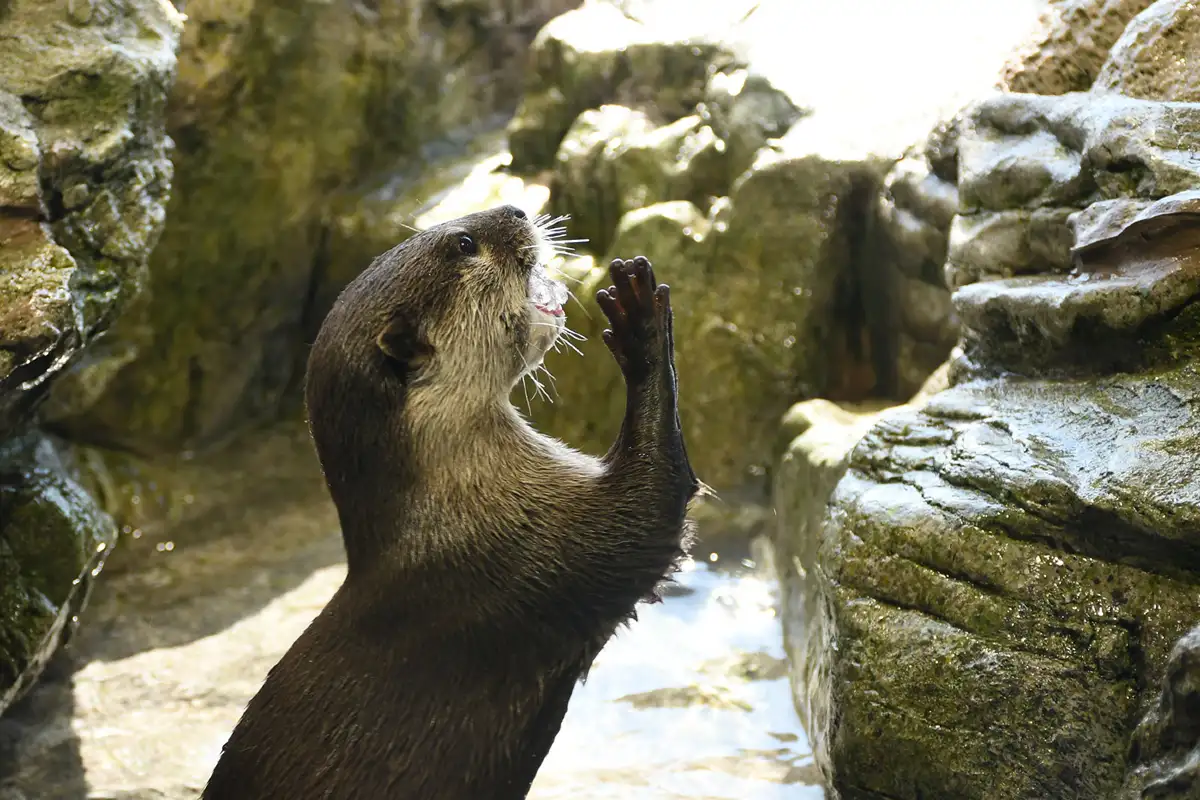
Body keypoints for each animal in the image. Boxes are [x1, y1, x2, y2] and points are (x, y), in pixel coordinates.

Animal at [201, 204, 699, 799]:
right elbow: (649, 510)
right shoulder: (542, 553)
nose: (516, 209)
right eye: (465, 244)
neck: (464, 506)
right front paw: (641, 324)